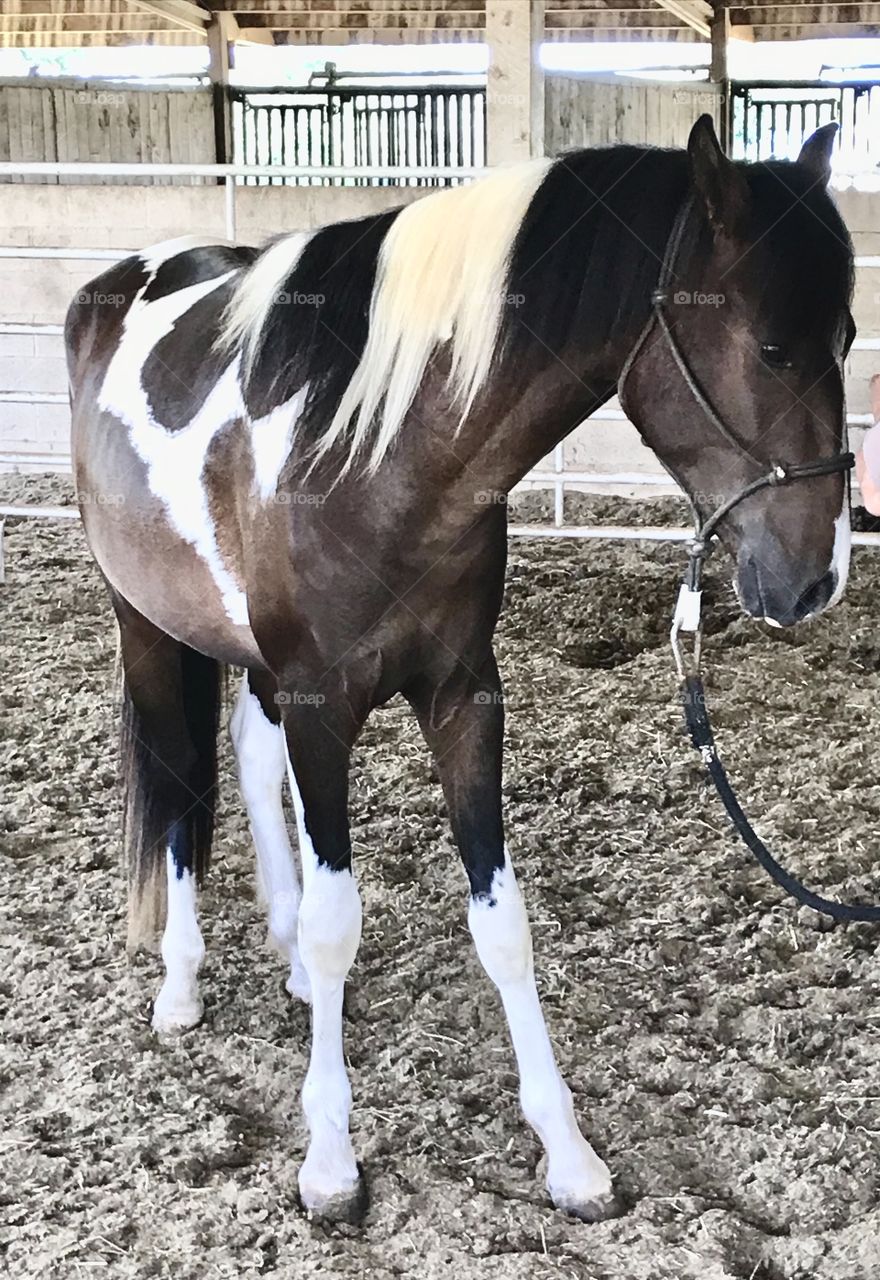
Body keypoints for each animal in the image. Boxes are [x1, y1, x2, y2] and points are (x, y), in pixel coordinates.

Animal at [65, 115, 855, 1224]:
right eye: (773, 347)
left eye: (848, 339)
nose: (815, 578)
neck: (370, 444)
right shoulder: (321, 704)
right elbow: (337, 921)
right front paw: (330, 1161)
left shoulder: (463, 696)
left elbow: (501, 922)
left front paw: (569, 1155)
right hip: (146, 623)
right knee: (179, 782)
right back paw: (180, 984)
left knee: (251, 763)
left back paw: (277, 942)